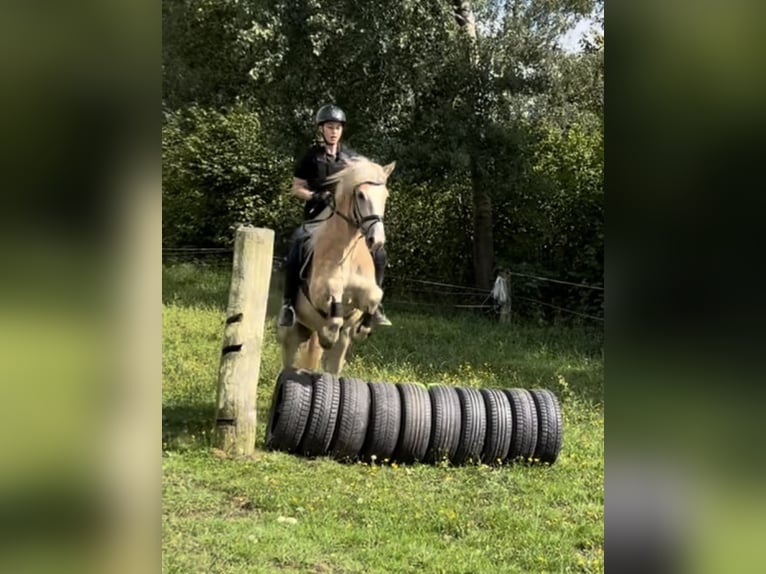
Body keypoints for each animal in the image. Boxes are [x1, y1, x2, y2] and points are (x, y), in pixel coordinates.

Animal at [278, 158, 396, 376]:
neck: (347, 254)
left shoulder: (368, 290)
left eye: (385, 195)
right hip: (291, 334)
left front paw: (363, 329)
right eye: (361, 195)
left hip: (339, 345)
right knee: (288, 360)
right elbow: (333, 300)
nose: (377, 241)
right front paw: (328, 335)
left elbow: (375, 296)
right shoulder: (319, 291)